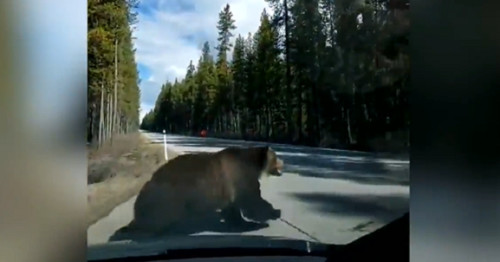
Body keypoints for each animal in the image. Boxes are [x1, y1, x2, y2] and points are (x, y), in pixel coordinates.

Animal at [121, 145, 284, 235]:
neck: (253, 164)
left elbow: (234, 207)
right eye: (276, 157)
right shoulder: (240, 176)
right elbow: (252, 200)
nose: (283, 162)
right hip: (166, 197)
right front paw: (271, 214)